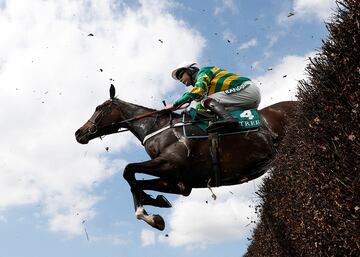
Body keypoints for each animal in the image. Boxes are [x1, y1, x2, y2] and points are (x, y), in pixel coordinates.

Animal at [74, 84, 296, 230]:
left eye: (99, 108)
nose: (78, 133)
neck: (159, 129)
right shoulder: (180, 182)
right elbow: (138, 184)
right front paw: (155, 204)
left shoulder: (170, 164)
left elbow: (128, 170)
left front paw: (147, 211)